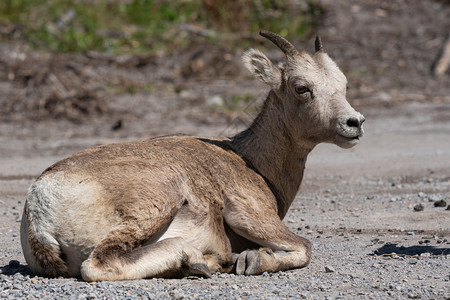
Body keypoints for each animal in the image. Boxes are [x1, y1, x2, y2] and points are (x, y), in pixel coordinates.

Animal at [20, 31, 366, 282]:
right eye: (301, 88)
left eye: (344, 85)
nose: (355, 123)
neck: (249, 161)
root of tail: (41, 206)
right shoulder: (253, 217)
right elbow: (305, 247)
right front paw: (251, 260)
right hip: (156, 202)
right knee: (99, 265)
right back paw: (204, 260)